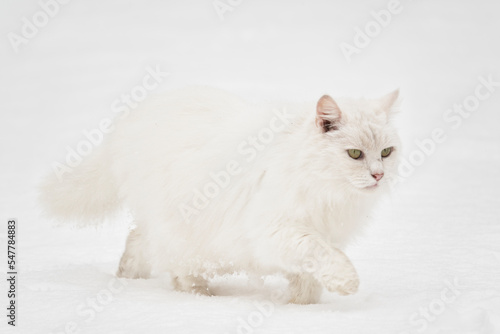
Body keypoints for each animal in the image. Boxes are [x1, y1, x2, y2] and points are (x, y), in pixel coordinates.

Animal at [39, 87, 400, 306]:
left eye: (386, 152)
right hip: (185, 231)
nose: (378, 175)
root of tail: (128, 122)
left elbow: (309, 278)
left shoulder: (320, 234)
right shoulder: (279, 231)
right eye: (354, 154)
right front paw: (345, 283)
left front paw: (303, 308)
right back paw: (200, 297)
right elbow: (323, 255)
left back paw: (128, 278)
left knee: (137, 242)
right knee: (174, 265)